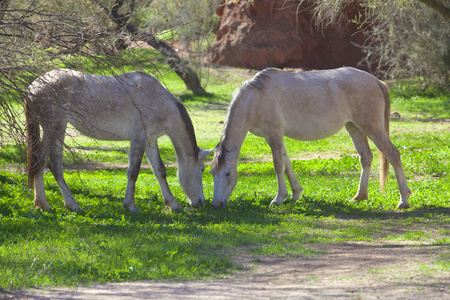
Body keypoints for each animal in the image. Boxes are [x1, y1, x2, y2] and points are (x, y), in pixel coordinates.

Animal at [26, 69, 211, 212]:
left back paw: (42, 204)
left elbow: (160, 170)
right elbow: (133, 171)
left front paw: (173, 204)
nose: (201, 202)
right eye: (202, 169)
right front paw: (130, 205)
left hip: (50, 131)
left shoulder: (150, 140)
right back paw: (72, 204)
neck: (159, 101)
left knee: (39, 162)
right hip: (57, 128)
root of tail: (32, 87)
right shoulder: (139, 138)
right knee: (55, 166)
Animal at [213, 67, 414, 210]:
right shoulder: (271, 138)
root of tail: (376, 81)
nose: (216, 204)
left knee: (393, 154)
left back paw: (403, 199)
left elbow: (278, 165)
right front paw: (295, 193)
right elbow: (287, 164)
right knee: (366, 157)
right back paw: (359, 196)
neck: (256, 97)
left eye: (228, 174)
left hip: (372, 128)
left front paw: (278, 198)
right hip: (354, 127)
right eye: (212, 173)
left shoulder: (274, 134)